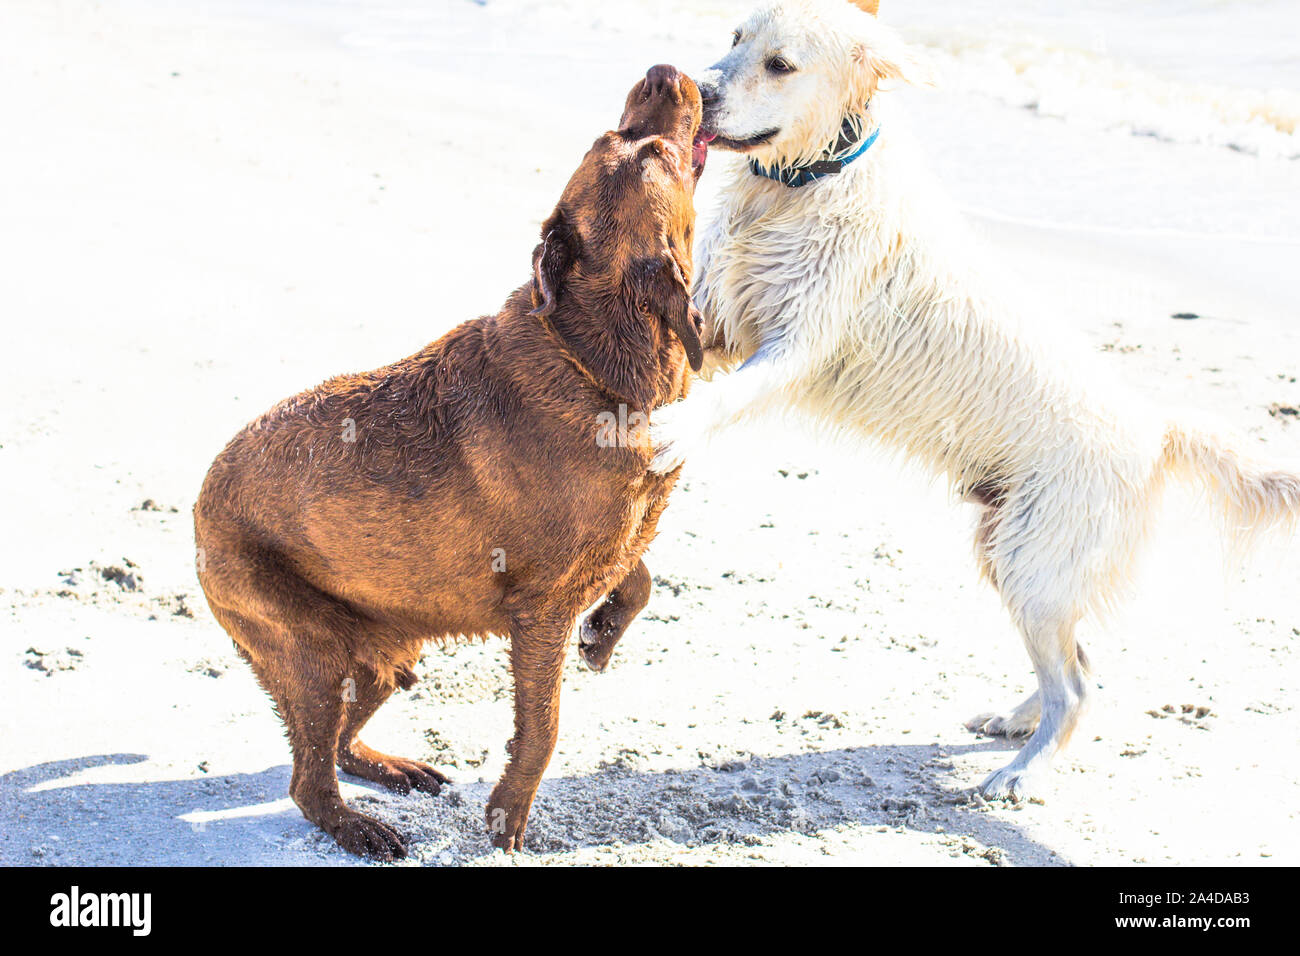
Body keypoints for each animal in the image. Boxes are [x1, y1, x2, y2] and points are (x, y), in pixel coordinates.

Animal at [189, 67, 712, 858]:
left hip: (383, 648)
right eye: (649, 148)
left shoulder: (610, 543)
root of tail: (198, 502)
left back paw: (391, 768)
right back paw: (360, 827)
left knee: (339, 743)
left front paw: (602, 636)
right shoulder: (539, 610)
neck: (595, 357)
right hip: (310, 649)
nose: (662, 71)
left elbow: (640, 574)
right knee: (309, 779)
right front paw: (506, 820)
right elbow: (543, 727)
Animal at [655, 0, 1300, 801]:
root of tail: (1157, 428)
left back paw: (1021, 773)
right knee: (1080, 665)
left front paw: (675, 426)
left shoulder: (797, 341)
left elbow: (728, 395)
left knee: (1077, 688)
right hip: (1012, 554)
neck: (801, 184)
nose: (697, 88)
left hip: (1036, 558)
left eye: (781, 64)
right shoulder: (721, 318)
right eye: (734, 38)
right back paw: (1016, 722)